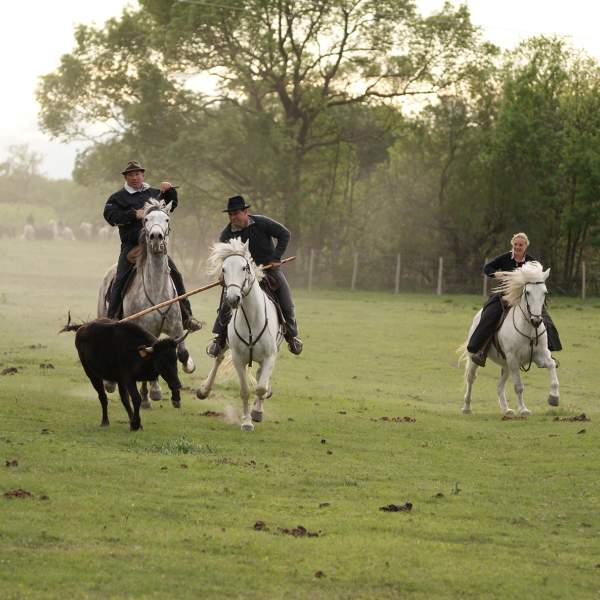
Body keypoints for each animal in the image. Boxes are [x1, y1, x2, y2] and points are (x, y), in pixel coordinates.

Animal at [97, 199, 193, 410]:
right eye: (146, 219)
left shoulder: (176, 327)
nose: (156, 238)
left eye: (167, 219)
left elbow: (181, 353)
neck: (156, 289)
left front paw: (187, 369)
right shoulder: (143, 330)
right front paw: (151, 394)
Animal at [196, 237, 282, 428]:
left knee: (260, 377)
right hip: (224, 345)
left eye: (244, 268)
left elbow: (261, 387)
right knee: (219, 358)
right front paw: (247, 422)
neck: (252, 320)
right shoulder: (238, 358)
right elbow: (244, 390)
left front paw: (256, 412)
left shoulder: (270, 356)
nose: (233, 298)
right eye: (223, 269)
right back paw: (204, 390)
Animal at [460, 262, 564, 418]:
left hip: (506, 365)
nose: (536, 321)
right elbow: (518, 387)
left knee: (499, 386)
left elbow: (552, 366)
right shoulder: (513, 359)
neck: (528, 329)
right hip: (477, 358)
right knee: (471, 379)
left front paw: (554, 398)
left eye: (545, 292)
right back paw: (467, 407)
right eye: (527, 292)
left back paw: (506, 410)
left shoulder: (541, 356)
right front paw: (523, 410)